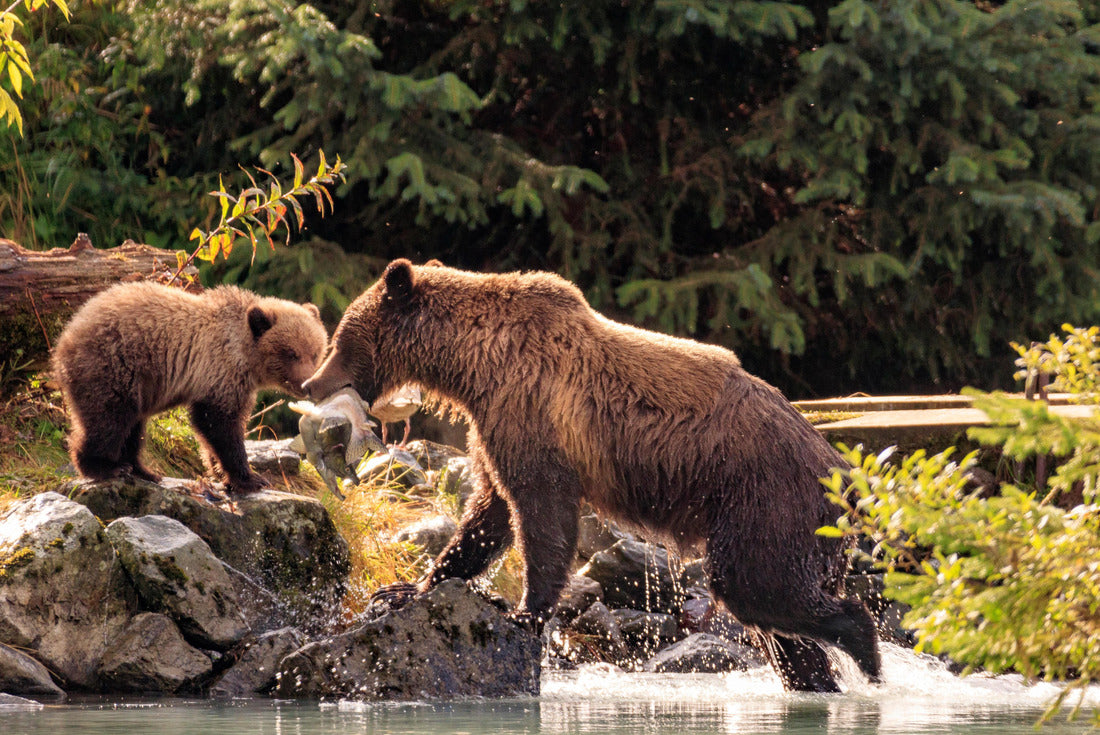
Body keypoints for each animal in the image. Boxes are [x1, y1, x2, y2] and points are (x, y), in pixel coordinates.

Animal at [52, 281, 328, 495]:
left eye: (315, 352)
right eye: (291, 353)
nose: (307, 384)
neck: (246, 356)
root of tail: (66, 334)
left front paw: (221, 472)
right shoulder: (220, 372)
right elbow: (219, 424)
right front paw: (251, 478)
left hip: (138, 383)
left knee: (133, 426)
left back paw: (143, 470)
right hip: (114, 365)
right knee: (108, 418)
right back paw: (104, 466)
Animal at [303, 258, 880, 692]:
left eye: (341, 337)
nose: (312, 384)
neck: (474, 364)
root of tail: (847, 475)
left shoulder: (531, 411)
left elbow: (540, 511)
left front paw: (523, 613)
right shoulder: (494, 424)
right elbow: (487, 514)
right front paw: (407, 589)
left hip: (767, 500)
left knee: (756, 586)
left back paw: (865, 650)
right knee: (780, 627)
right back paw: (819, 680)